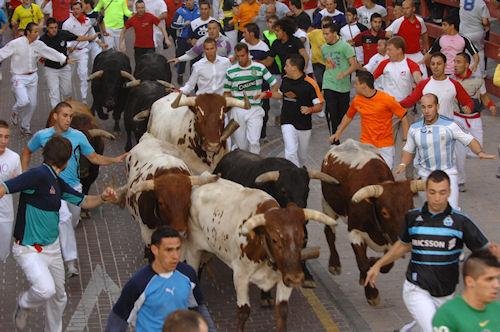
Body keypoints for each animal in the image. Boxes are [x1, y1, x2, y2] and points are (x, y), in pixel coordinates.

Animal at [184, 179, 336, 332]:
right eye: (274, 239)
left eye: (304, 238)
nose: (296, 278)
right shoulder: (240, 276)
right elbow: (243, 312)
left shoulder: (285, 278)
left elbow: (282, 312)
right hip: (193, 250)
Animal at [320, 139, 426, 306]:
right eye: (384, 212)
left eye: (410, 207)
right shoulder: (354, 232)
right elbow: (362, 262)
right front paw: (371, 294)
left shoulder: (391, 239)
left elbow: (386, 264)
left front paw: (373, 264)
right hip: (328, 205)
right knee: (329, 232)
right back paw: (334, 264)